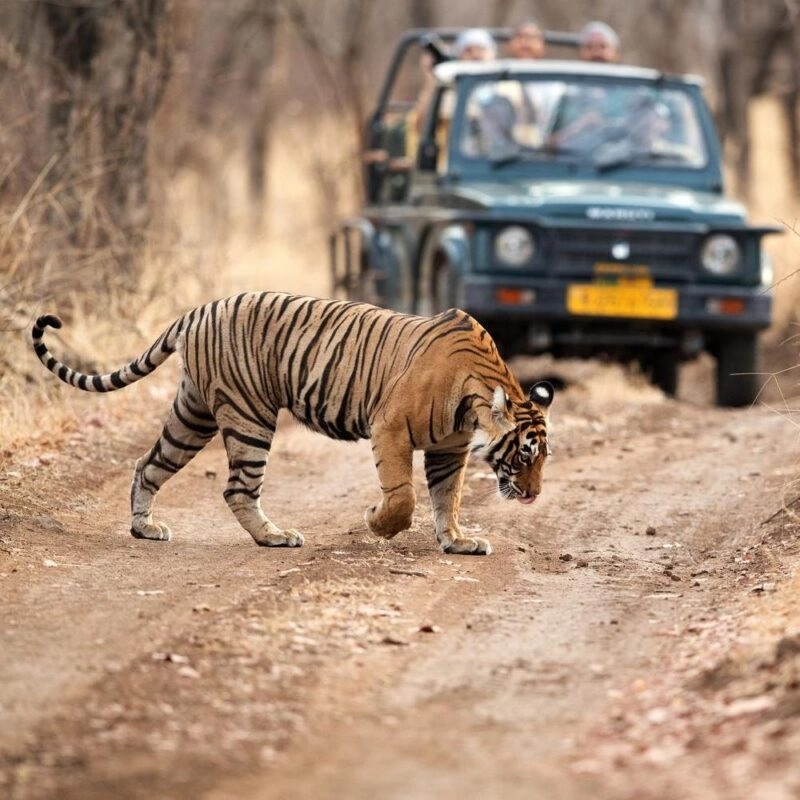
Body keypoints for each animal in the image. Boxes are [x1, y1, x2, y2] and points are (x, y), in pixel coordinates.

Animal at [31, 292, 554, 556]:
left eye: (543, 457)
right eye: (524, 453)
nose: (533, 495)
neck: (475, 398)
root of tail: (198, 310)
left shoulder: (449, 448)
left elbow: (449, 498)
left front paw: (458, 541)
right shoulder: (390, 428)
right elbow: (403, 497)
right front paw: (377, 522)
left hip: (193, 414)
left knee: (148, 464)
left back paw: (145, 528)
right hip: (249, 415)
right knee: (237, 488)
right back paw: (274, 537)